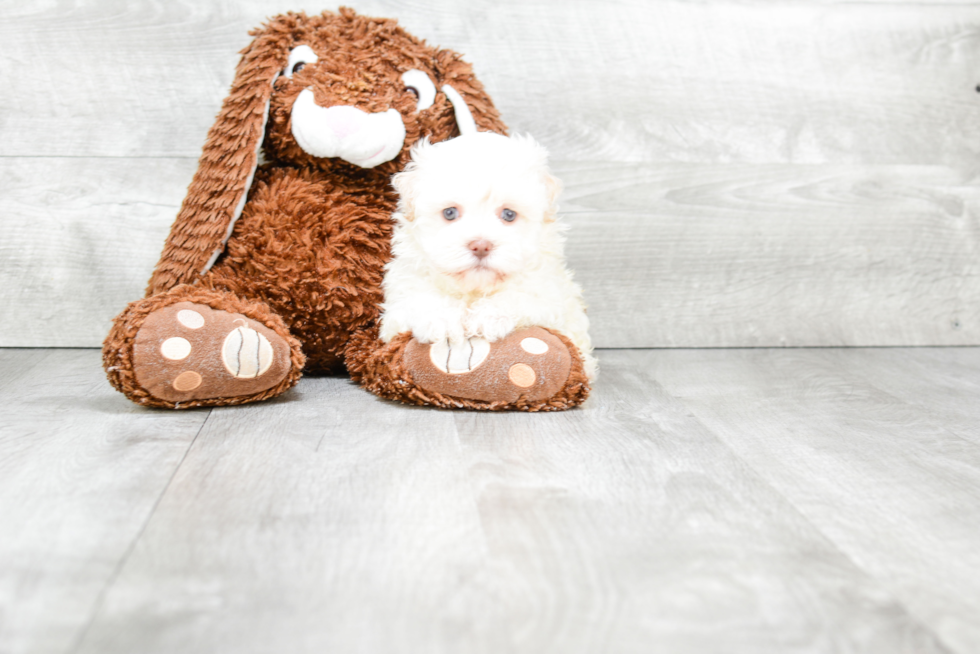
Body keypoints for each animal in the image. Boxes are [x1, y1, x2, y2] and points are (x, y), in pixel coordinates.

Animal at [380, 131, 596, 382]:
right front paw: (440, 320)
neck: (474, 289)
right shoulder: (401, 294)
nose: (481, 246)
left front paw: (488, 317)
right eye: (450, 213)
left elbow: (520, 296)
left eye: (509, 214)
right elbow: (419, 298)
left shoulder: (549, 293)